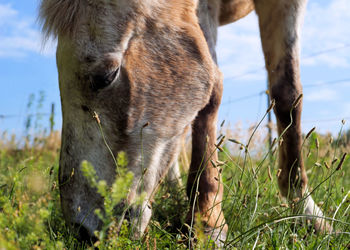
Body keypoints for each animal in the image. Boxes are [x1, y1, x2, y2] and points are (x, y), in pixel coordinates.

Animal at [39, 0, 330, 246]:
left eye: (106, 76)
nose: (81, 230)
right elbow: (213, 86)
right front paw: (207, 217)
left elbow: (288, 92)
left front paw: (305, 209)